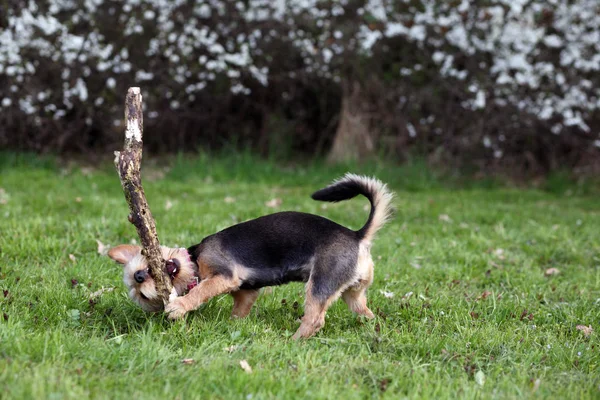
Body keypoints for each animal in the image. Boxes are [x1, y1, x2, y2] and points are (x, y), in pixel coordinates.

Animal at [109, 173, 394, 340]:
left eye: (142, 260)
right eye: (143, 295)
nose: (139, 275)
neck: (194, 260)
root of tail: (358, 236)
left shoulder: (224, 276)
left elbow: (199, 292)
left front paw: (179, 306)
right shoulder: (245, 292)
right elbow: (238, 311)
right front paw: (231, 326)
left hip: (320, 284)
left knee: (315, 319)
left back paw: (293, 342)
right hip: (351, 293)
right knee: (363, 312)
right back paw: (371, 329)